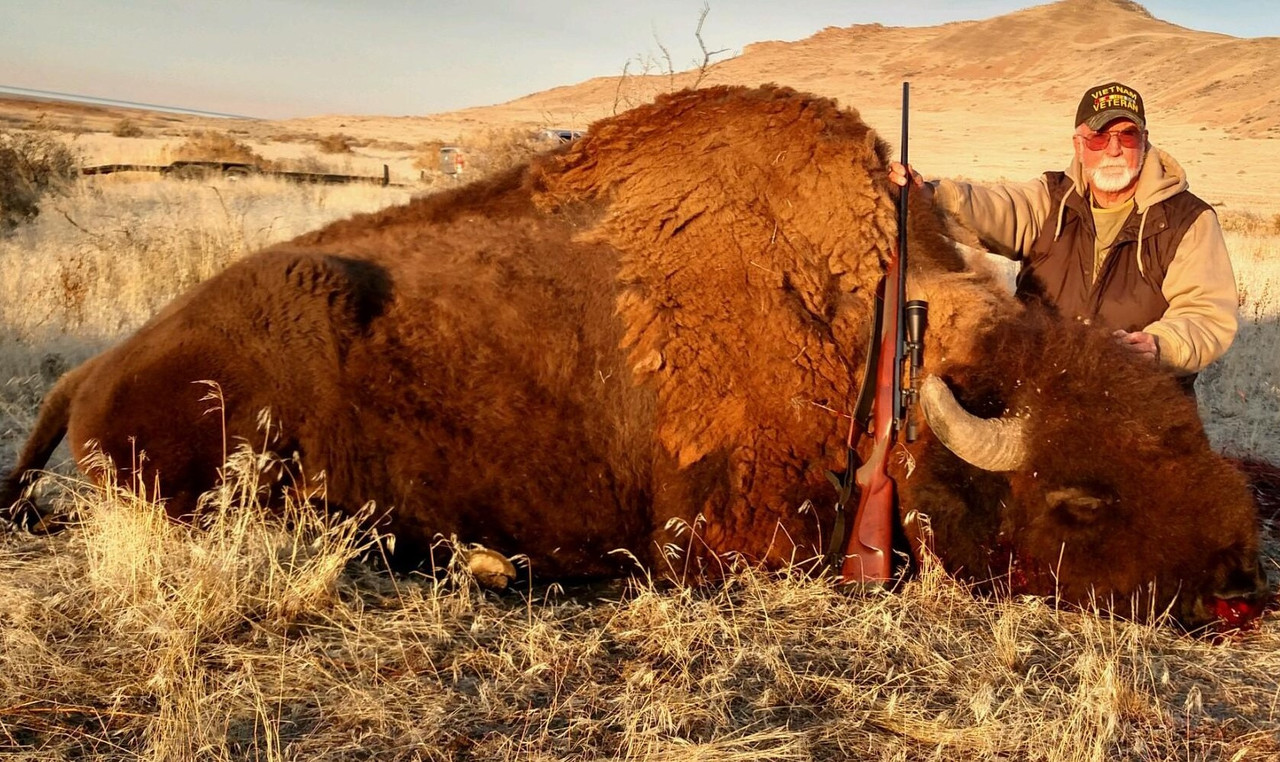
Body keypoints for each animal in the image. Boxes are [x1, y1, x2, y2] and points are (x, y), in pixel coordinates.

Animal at [2, 85, 1269, 628]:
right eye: (1077, 500)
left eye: (1197, 449)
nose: (1237, 583)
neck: (859, 323)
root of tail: (89, 373)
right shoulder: (727, 538)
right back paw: (483, 563)